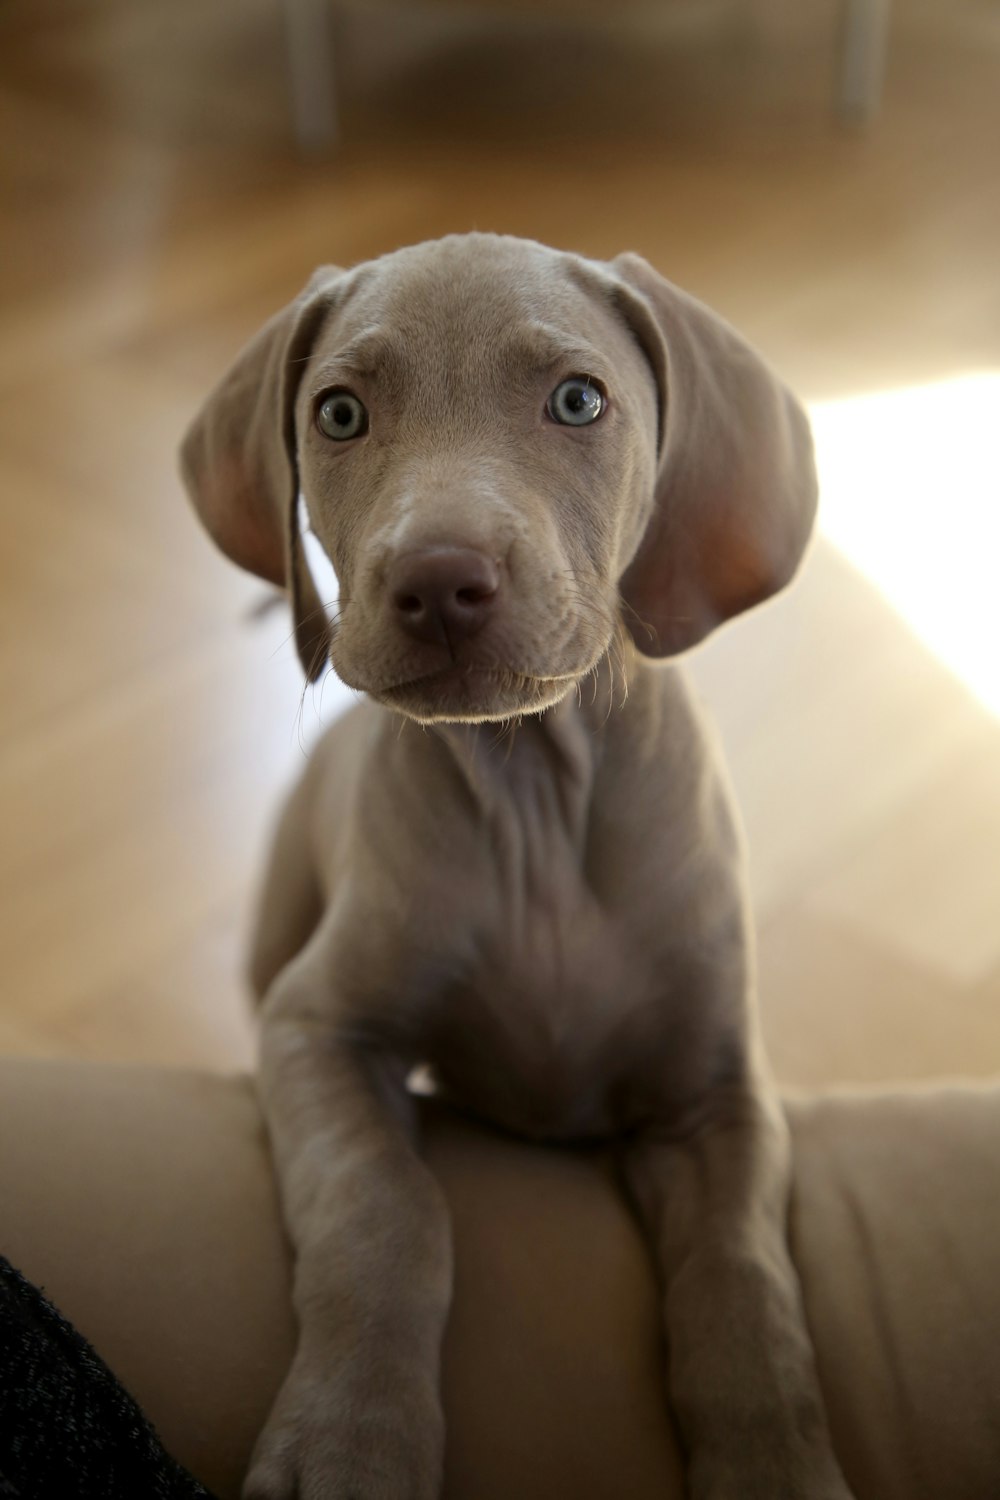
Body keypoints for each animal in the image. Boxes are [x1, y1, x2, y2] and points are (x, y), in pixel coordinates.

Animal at [179, 234, 851, 1500]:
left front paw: (776, 1464)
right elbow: (387, 1211)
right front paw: (350, 1437)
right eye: (339, 414)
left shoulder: (717, 1100)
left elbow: (744, 1281)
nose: (439, 582)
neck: (537, 796)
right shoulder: (315, 1029)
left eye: (578, 401)